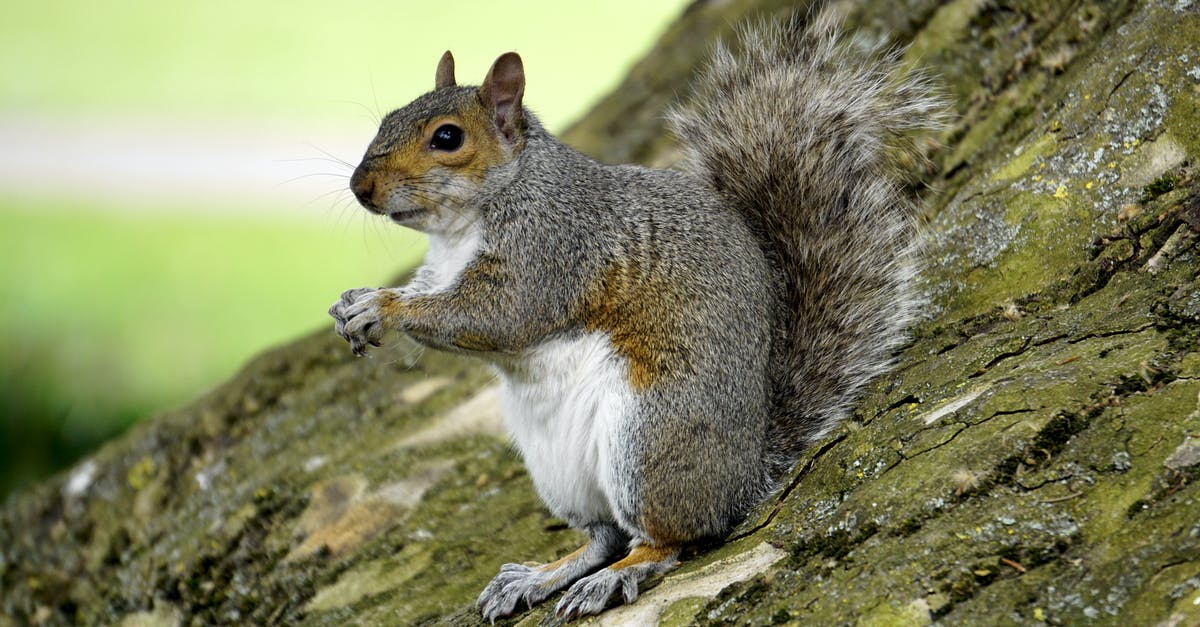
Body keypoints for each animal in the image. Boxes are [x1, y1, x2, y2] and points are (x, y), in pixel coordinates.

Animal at [329, 12, 944, 621]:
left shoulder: (550, 251)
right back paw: (542, 575)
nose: (361, 187)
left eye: (447, 137)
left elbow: (495, 316)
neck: (466, 223)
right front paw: (353, 303)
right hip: (560, 470)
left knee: (667, 539)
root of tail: (744, 476)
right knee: (604, 536)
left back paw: (616, 576)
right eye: (388, 118)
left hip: (648, 439)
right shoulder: (441, 269)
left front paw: (384, 308)